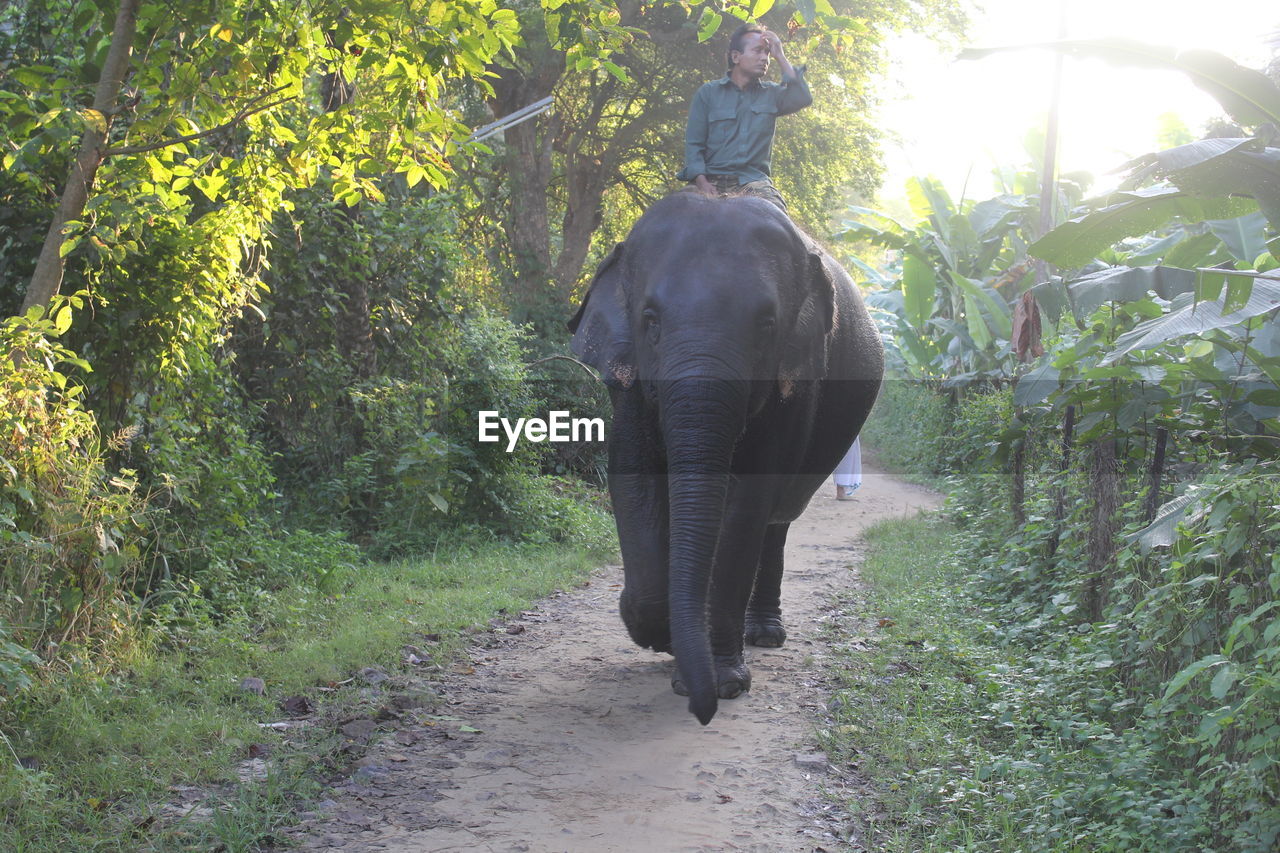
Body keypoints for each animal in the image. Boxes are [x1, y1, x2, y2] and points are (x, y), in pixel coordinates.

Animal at [568, 189, 880, 722]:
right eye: (650, 319)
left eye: (767, 324)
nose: (703, 711)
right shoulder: (627, 382)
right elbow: (632, 479)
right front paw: (653, 629)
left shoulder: (797, 384)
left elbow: (746, 505)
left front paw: (724, 682)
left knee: (776, 520)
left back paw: (764, 636)